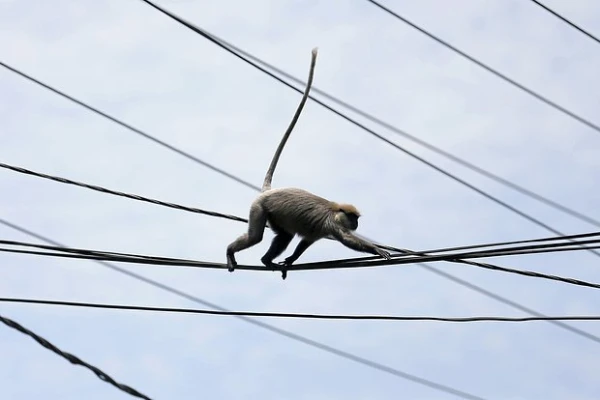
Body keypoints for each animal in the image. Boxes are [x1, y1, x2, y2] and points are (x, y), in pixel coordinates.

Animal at [224, 47, 390, 278]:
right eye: (353, 218)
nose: (356, 223)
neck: (335, 211)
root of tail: (269, 191)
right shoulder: (332, 224)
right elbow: (347, 239)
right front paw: (375, 249)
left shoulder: (319, 231)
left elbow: (305, 242)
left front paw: (291, 260)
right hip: (258, 207)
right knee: (256, 236)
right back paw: (231, 251)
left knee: (284, 236)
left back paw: (266, 260)